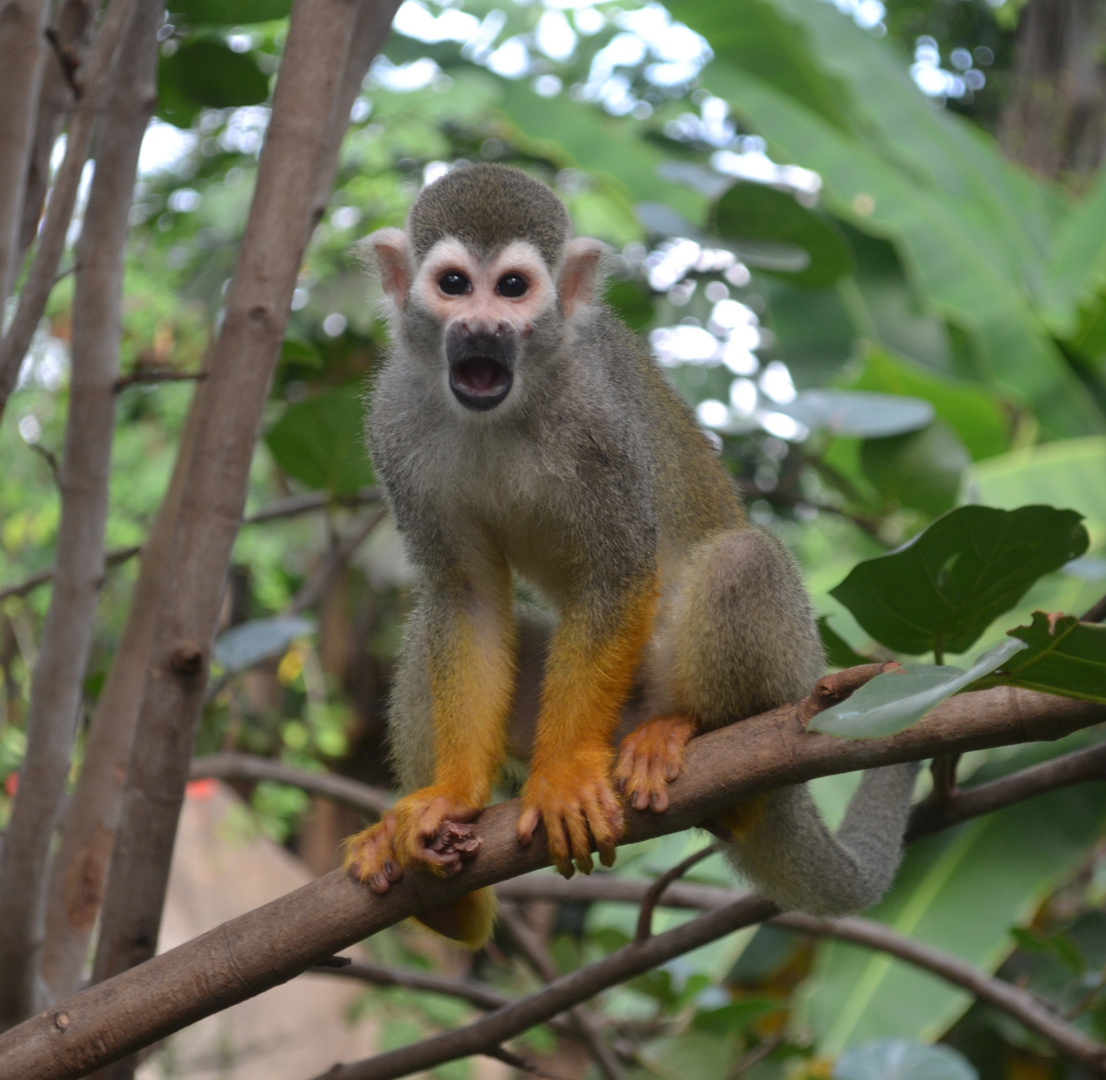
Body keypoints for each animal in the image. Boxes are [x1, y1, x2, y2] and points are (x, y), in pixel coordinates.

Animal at [347, 162, 915, 947]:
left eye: (513, 288)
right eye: (455, 284)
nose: (484, 328)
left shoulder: (598, 422)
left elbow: (618, 573)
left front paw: (560, 779)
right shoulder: (393, 420)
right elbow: (465, 597)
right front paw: (453, 797)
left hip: (783, 684)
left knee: (744, 563)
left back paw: (705, 747)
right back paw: (449, 905)